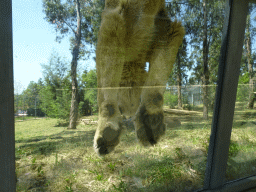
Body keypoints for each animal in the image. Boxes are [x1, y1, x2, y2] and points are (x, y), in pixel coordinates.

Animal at [93, 0, 184, 156]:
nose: (128, 114)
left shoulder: (112, 18)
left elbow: (105, 87)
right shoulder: (168, 30)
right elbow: (158, 73)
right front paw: (151, 123)